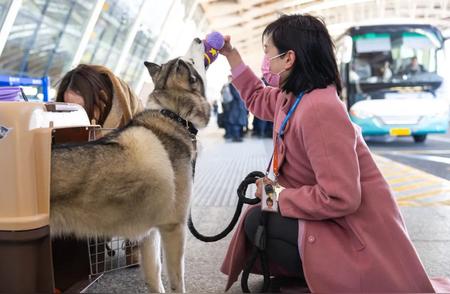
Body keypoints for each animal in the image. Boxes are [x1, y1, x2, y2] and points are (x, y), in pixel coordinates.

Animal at [50, 39, 212, 294]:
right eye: (191, 60)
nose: (198, 39)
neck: (174, 116)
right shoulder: (174, 228)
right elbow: (177, 282)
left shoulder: (150, 233)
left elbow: (155, 276)